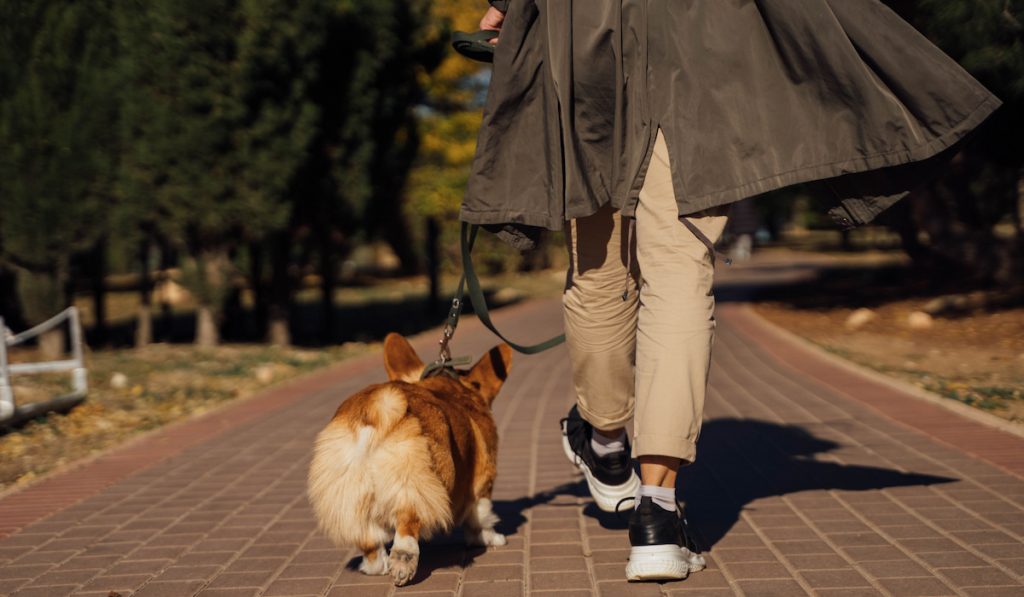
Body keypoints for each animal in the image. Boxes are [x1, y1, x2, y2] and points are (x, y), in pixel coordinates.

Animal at [303, 333, 512, 585]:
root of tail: (374, 409)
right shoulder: (482, 482)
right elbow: (481, 517)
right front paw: (490, 538)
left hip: (349, 492)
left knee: (368, 539)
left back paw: (375, 567)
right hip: (412, 479)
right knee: (407, 523)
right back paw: (403, 563)